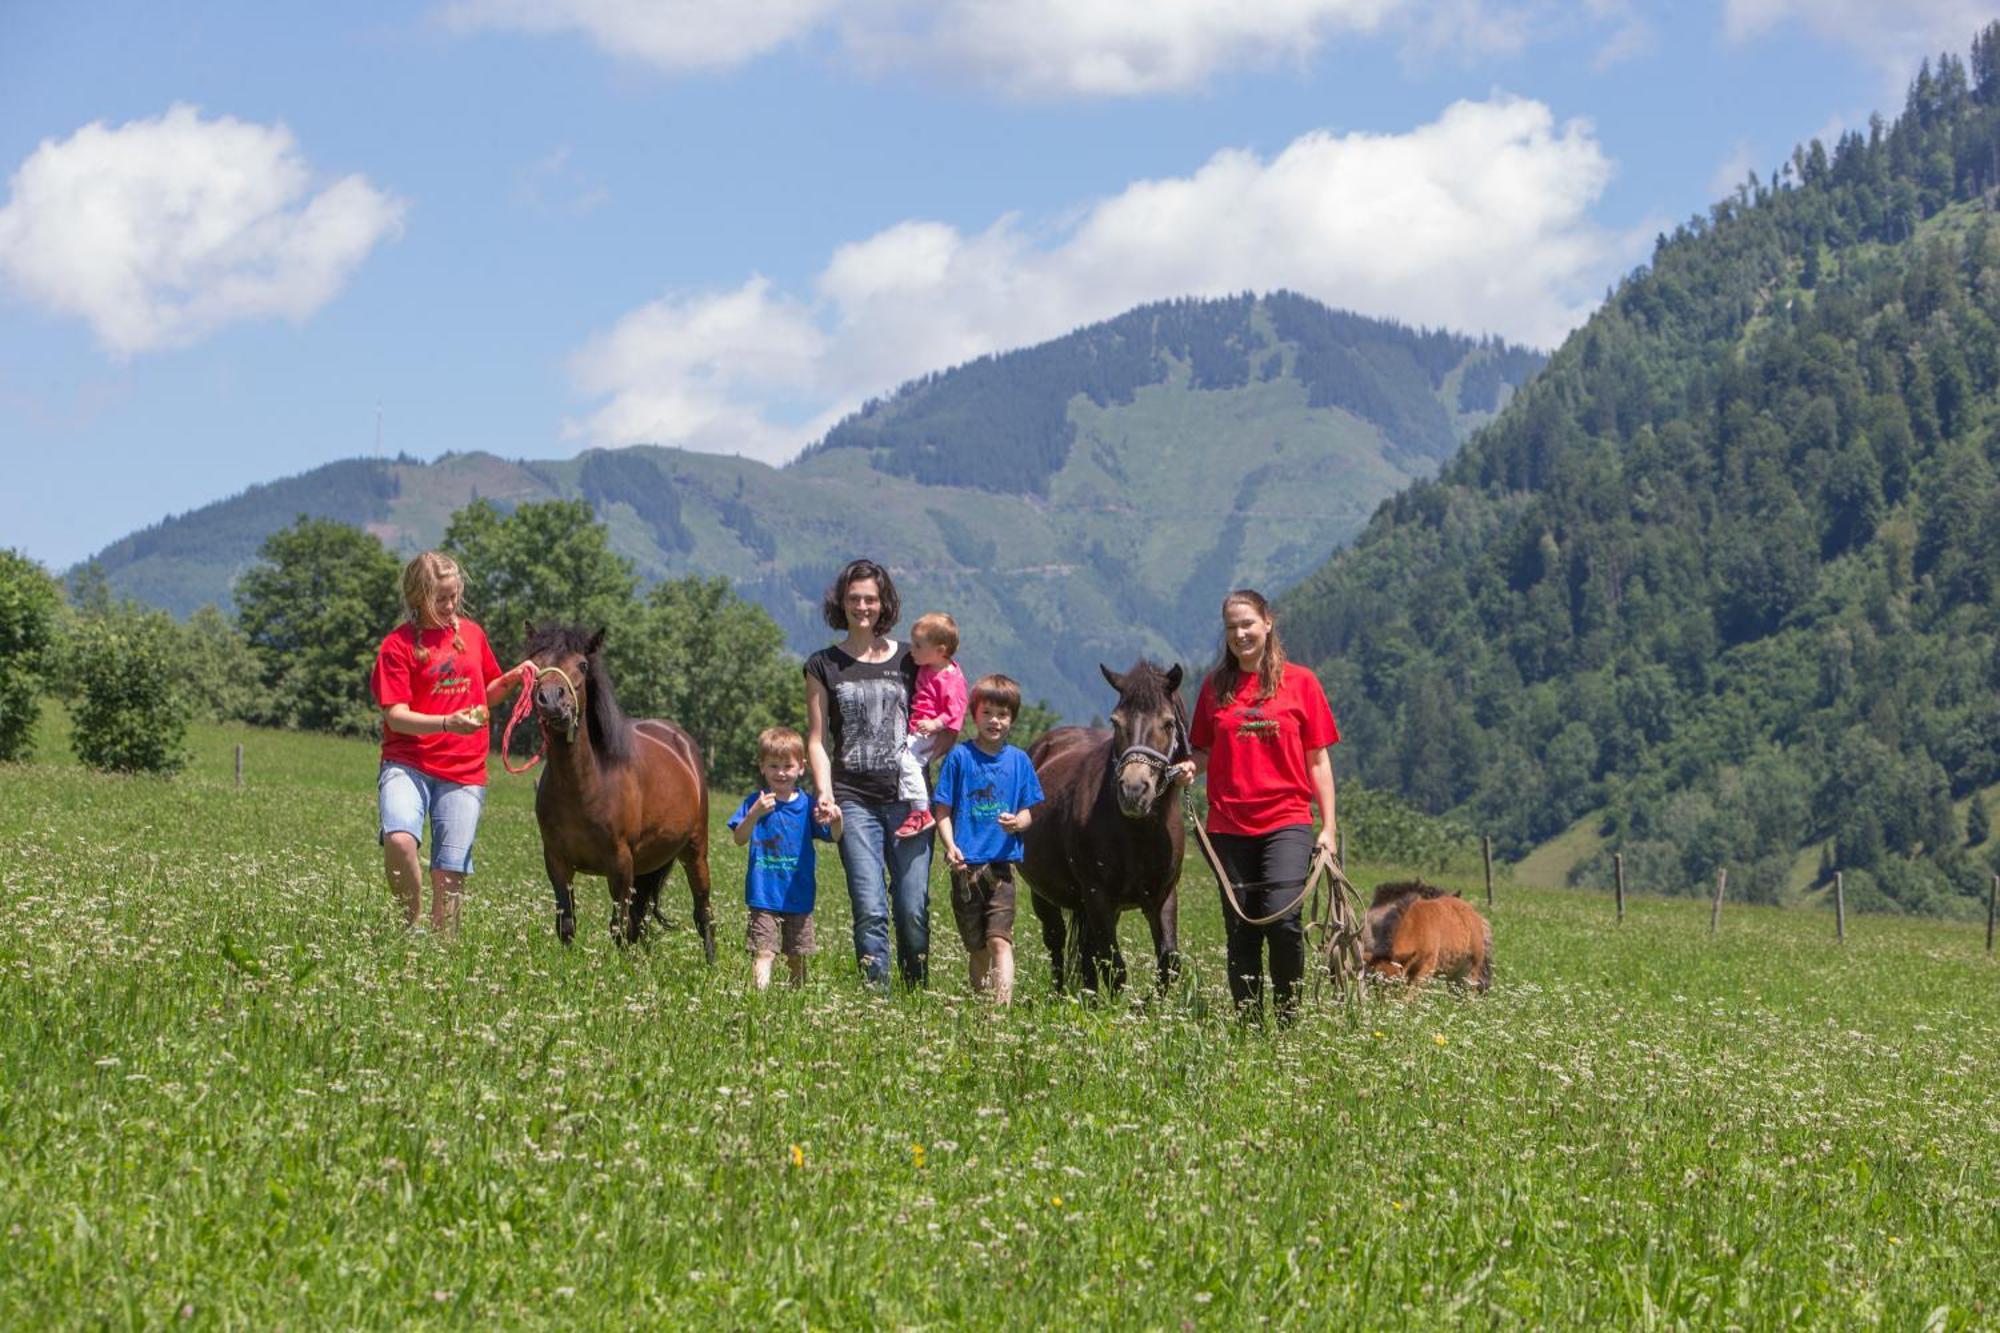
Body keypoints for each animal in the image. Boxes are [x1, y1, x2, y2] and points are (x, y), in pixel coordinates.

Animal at [524, 624, 720, 956]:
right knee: (640, 918)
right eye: (535, 663)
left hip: (694, 850)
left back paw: (710, 962)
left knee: (702, 911)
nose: (550, 700)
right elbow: (567, 924)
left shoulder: (620, 865)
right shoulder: (557, 863)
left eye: (583, 665)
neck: (586, 786)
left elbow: (618, 928)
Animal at [1016, 660, 1184, 992]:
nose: (1133, 790)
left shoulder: (1162, 897)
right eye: (1115, 722)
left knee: (1086, 952)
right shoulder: (1098, 896)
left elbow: (1168, 962)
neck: (1138, 834)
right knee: (1057, 941)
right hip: (1046, 895)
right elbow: (1114, 966)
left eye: (1169, 723)